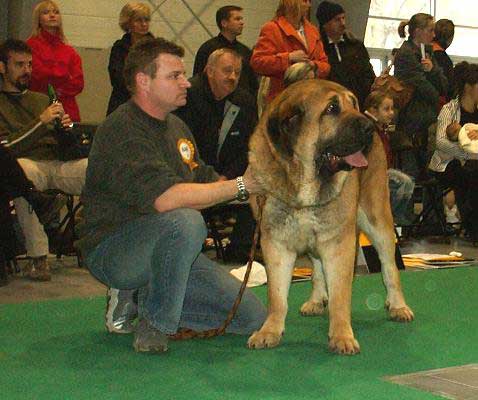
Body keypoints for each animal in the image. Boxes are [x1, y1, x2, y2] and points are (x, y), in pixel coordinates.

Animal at [248, 80, 412, 354]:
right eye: (332, 108)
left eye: (353, 103)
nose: (368, 127)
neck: (304, 183)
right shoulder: (275, 244)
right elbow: (277, 295)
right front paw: (269, 331)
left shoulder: (338, 244)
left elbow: (340, 296)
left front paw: (342, 336)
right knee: (316, 266)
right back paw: (316, 299)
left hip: (377, 218)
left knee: (389, 266)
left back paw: (398, 306)